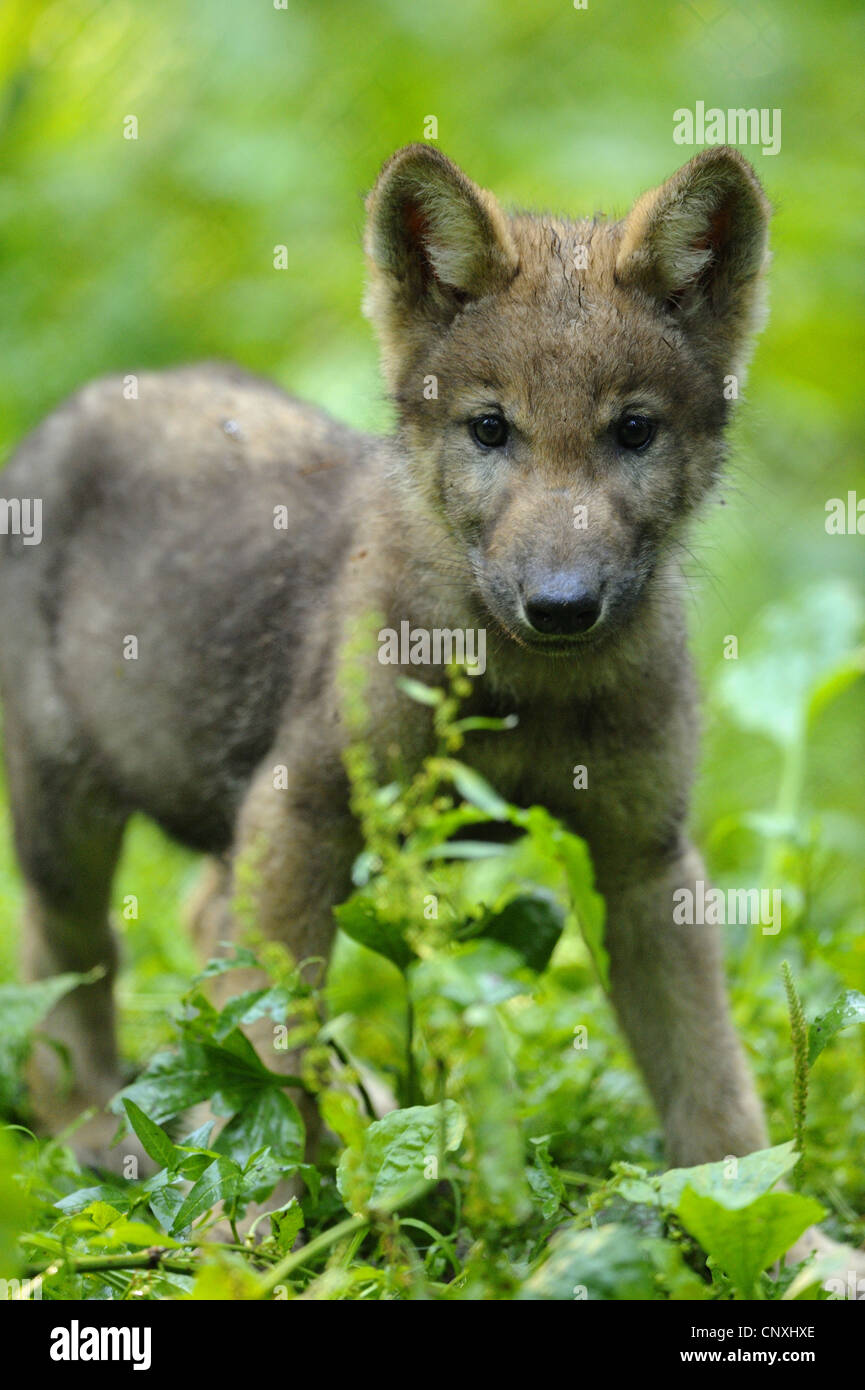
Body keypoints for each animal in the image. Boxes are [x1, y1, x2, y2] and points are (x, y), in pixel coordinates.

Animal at [0, 143, 853, 1267]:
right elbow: (268, 1050)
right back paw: (107, 1141)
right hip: (69, 817)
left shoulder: (643, 858)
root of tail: (81, 402)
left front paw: (781, 1240)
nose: (562, 606)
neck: (528, 691)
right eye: (489, 429)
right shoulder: (302, 810)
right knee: (67, 974)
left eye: (633, 431)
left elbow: (713, 1086)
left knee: (191, 931)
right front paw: (252, 1229)